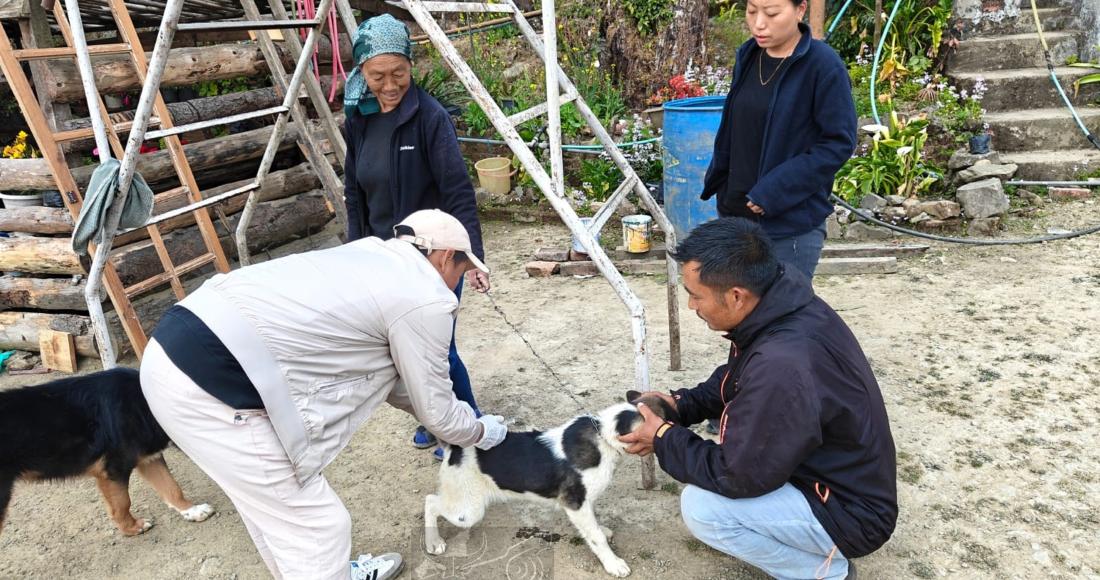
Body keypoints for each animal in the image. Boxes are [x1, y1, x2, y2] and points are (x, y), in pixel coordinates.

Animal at [0, 367, 213, 537]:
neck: (145, 402)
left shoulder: (148, 459)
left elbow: (172, 488)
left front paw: (191, 510)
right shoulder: (113, 470)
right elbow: (122, 503)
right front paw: (132, 528)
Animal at [424, 390, 680, 577]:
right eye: (671, 417)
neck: (602, 438)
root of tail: (455, 447)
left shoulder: (584, 502)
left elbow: (595, 525)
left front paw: (602, 529)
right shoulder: (575, 504)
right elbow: (595, 537)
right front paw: (613, 563)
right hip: (468, 511)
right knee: (431, 502)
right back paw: (434, 542)